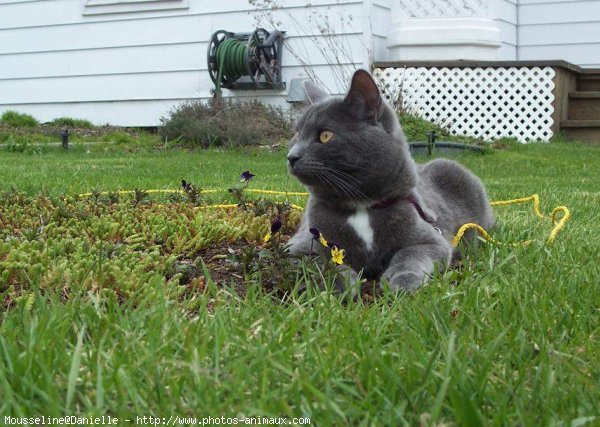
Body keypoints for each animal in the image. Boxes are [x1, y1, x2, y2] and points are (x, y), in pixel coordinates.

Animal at [288, 70, 494, 292]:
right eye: (297, 133)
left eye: (325, 135)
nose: (291, 156)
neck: (361, 206)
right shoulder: (297, 246)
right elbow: (321, 261)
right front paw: (336, 284)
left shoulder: (433, 240)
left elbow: (410, 254)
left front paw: (403, 279)